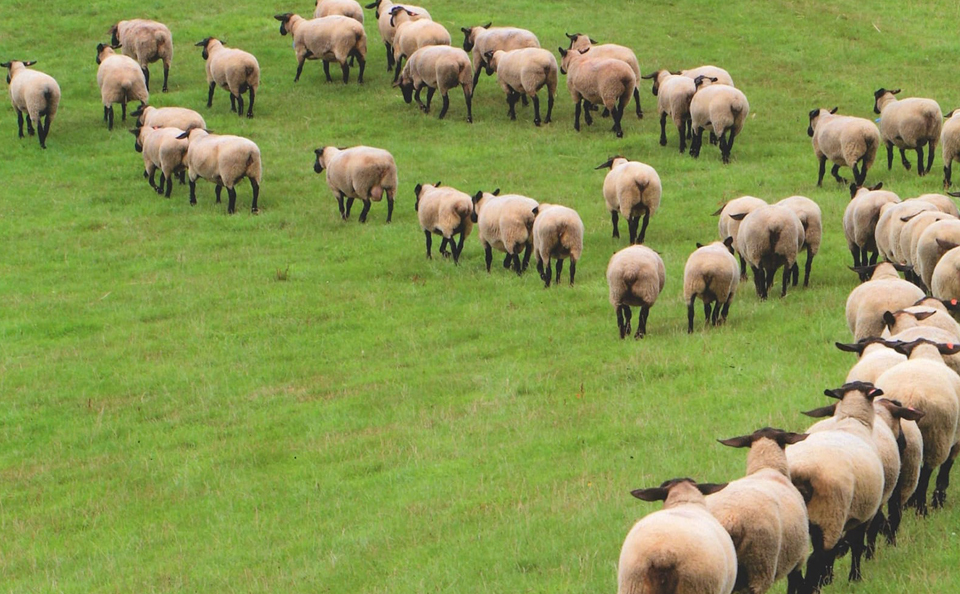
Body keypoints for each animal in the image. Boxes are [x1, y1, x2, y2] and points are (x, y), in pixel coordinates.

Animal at [788, 382, 884, 584]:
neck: (852, 422)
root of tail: (801, 472)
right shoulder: (864, 513)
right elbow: (857, 545)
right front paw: (855, 577)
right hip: (830, 514)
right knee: (816, 558)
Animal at [876, 338, 960, 512]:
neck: (925, 354)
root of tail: (912, 396)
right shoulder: (956, 439)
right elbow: (945, 470)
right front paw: (939, 501)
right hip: (938, 436)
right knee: (927, 472)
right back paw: (922, 508)